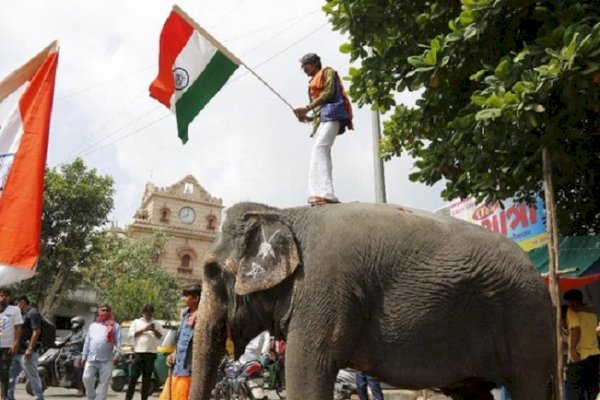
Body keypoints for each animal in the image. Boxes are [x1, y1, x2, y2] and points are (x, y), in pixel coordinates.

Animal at [190, 203, 556, 400]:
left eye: (211, 272)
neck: (284, 213)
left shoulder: (323, 290)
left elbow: (308, 370)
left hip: (527, 321)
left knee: (528, 385)